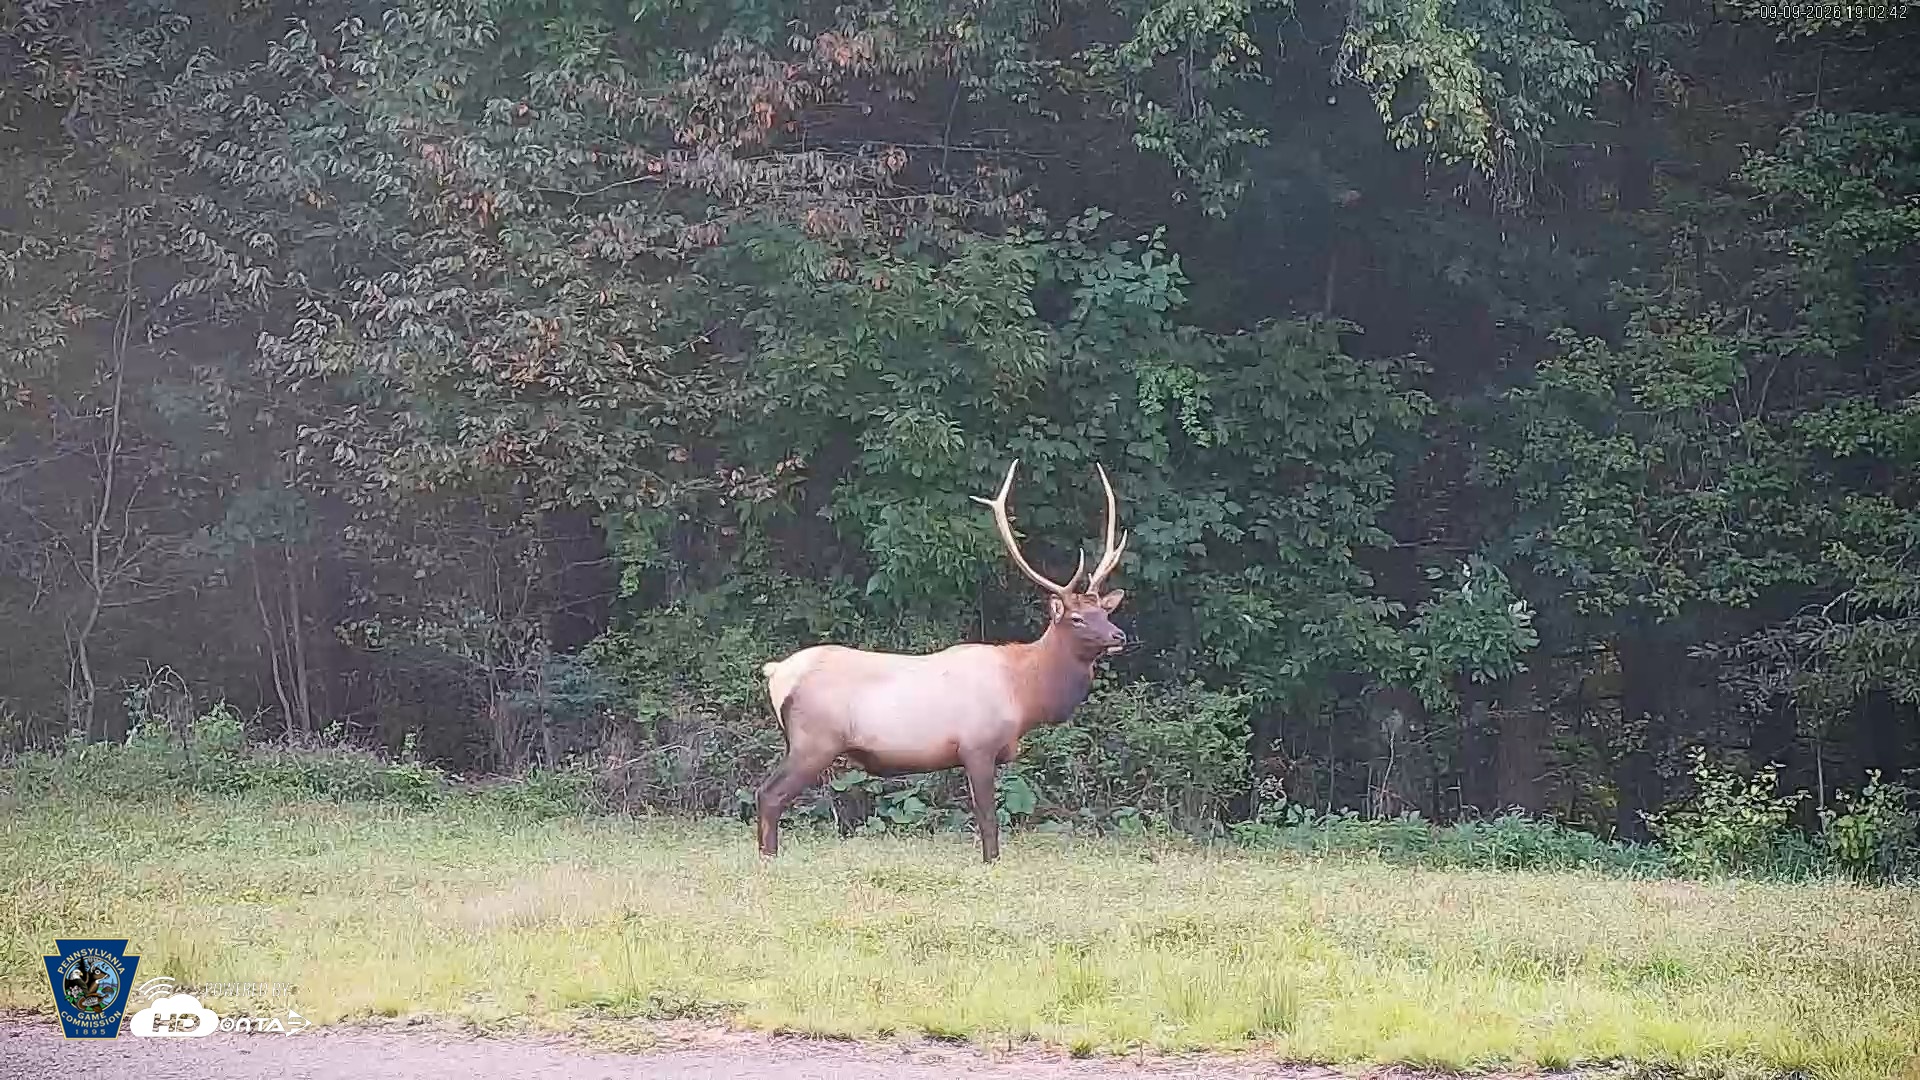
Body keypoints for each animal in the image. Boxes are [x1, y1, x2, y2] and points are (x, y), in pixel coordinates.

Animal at [755, 459, 1131, 863]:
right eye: (1076, 618)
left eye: (1104, 612)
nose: (1118, 636)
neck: (1024, 693)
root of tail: (777, 673)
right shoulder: (977, 745)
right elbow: (987, 820)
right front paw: (991, 863)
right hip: (815, 740)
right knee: (769, 794)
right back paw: (769, 860)